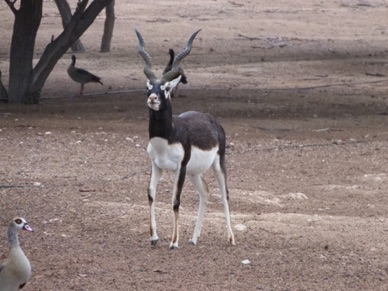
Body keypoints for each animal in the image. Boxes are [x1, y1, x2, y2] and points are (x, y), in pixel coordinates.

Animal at [135, 28, 235, 250]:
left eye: (165, 88)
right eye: (148, 86)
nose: (152, 98)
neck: (167, 138)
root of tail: (212, 119)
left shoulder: (179, 168)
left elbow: (175, 200)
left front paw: (174, 242)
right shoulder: (156, 165)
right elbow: (150, 193)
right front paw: (154, 237)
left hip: (218, 163)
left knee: (224, 194)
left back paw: (231, 238)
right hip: (194, 172)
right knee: (205, 192)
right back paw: (194, 238)